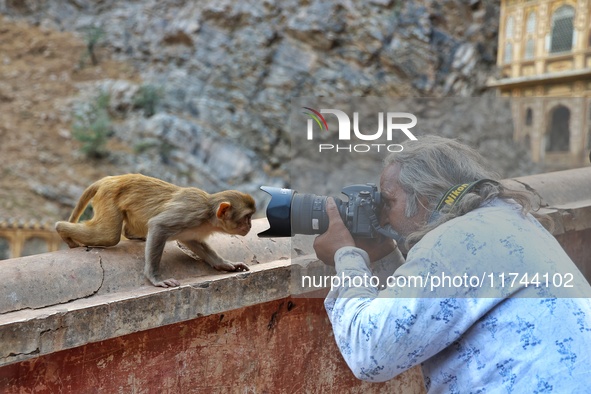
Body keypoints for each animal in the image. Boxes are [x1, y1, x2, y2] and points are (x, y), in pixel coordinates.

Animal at [56, 174, 256, 288]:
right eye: (247, 217)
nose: (250, 226)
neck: (208, 214)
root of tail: (111, 179)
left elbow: (192, 241)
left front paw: (225, 264)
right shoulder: (191, 213)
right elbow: (158, 226)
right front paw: (154, 278)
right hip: (108, 196)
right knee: (108, 236)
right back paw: (61, 229)